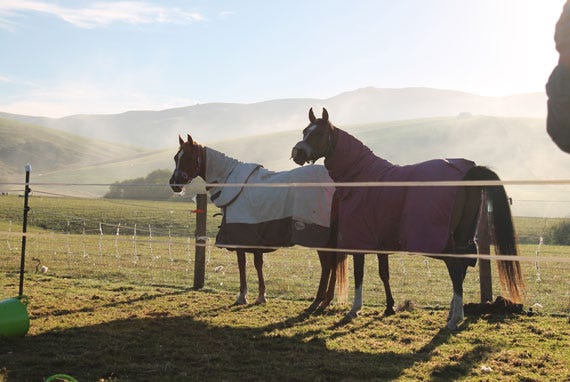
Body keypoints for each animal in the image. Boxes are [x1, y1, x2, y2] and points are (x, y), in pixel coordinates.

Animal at [169, 134, 346, 310]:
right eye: (176, 157)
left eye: (188, 157)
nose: (174, 183)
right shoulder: (257, 239)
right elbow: (258, 264)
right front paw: (261, 296)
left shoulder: (240, 238)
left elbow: (242, 265)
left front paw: (243, 296)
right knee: (333, 264)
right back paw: (326, 301)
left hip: (320, 237)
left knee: (327, 265)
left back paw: (318, 301)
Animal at [290, 107, 520, 328]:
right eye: (304, 131)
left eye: (319, 133)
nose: (297, 153)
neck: (362, 178)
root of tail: (469, 173)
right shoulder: (380, 241)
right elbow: (383, 272)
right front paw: (389, 306)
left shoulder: (359, 239)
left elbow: (359, 274)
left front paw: (355, 309)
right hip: (462, 236)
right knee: (463, 266)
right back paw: (452, 312)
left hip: (443, 241)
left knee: (456, 269)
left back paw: (455, 318)